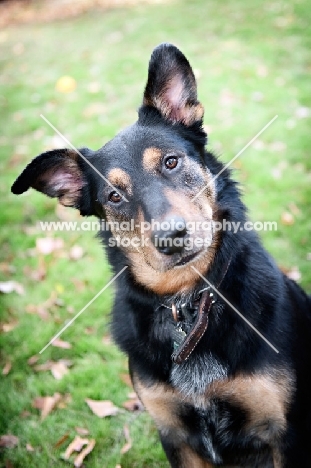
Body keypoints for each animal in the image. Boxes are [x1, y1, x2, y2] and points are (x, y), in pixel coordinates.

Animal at [11, 44, 311, 468]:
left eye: (171, 161)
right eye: (114, 196)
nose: (171, 237)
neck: (188, 304)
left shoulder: (285, 433)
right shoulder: (175, 435)